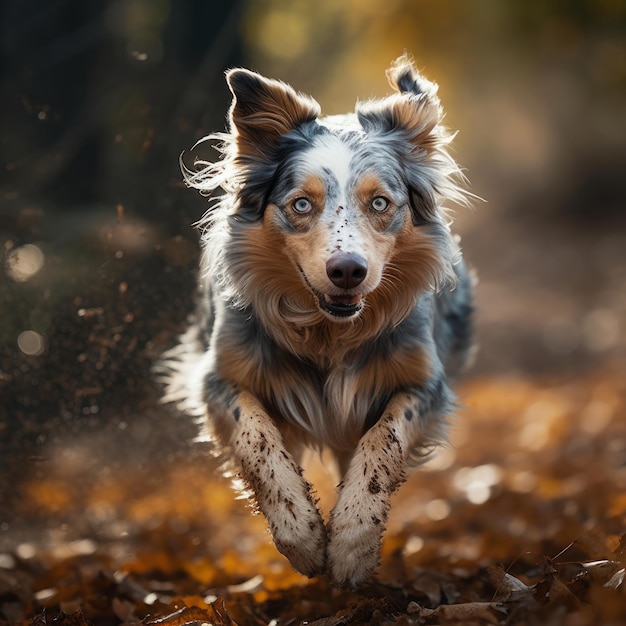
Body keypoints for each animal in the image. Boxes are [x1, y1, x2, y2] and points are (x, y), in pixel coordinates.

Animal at [163, 54, 470, 584]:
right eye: (301, 204)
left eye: (380, 203)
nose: (347, 271)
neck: (329, 333)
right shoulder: (217, 379)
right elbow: (257, 440)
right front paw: (303, 537)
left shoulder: (425, 385)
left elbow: (384, 443)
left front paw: (351, 545)